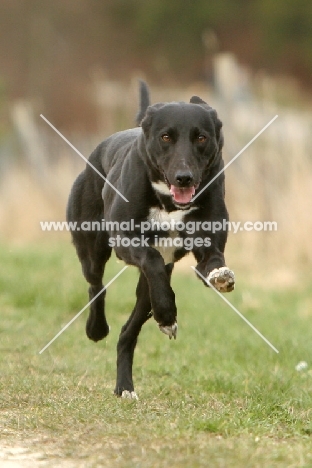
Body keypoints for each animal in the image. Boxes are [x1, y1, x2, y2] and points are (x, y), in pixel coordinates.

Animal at [67, 80, 234, 398]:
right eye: (166, 137)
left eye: (202, 137)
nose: (184, 177)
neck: (169, 203)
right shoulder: (126, 240)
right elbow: (151, 257)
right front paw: (168, 313)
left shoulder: (207, 244)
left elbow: (212, 262)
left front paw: (220, 276)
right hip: (92, 249)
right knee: (96, 285)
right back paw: (98, 328)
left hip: (145, 293)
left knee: (128, 331)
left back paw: (125, 386)